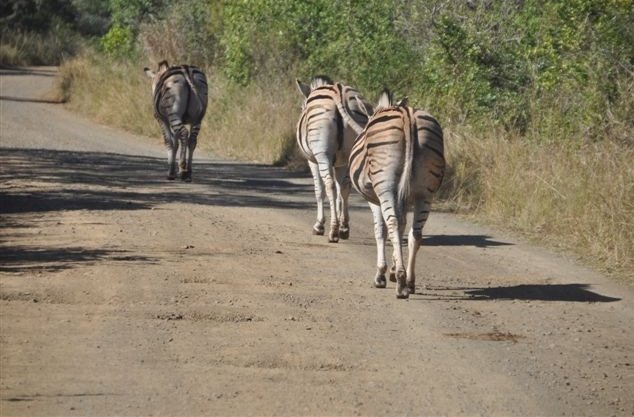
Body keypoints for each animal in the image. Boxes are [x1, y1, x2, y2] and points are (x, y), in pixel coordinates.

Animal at [294, 76, 372, 242]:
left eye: (302, 107)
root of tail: (339, 92)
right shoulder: (340, 163)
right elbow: (340, 191)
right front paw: (343, 225)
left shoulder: (313, 161)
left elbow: (319, 190)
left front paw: (319, 225)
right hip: (350, 154)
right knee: (345, 187)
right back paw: (342, 229)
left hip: (322, 154)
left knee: (329, 185)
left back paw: (333, 231)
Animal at [340, 89, 444, 298]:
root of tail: (408, 116)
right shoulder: (403, 198)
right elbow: (403, 226)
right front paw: (395, 270)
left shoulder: (375, 199)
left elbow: (380, 231)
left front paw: (382, 274)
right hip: (425, 194)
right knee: (415, 234)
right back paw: (409, 281)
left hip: (385, 187)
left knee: (393, 224)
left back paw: (401, 284)